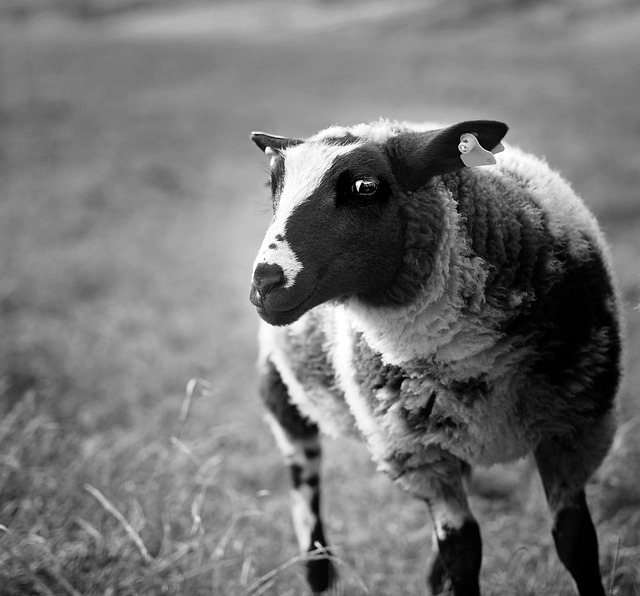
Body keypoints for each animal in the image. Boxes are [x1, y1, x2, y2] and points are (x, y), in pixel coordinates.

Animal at [248, 119, 622, 596]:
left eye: (365, 186)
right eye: (273, 185)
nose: (264, 284)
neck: (473, 357)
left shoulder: (572, 429)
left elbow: (575, 541)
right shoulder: (422, 456)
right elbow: (463, 552)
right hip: (284, 397)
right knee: (309, 516)